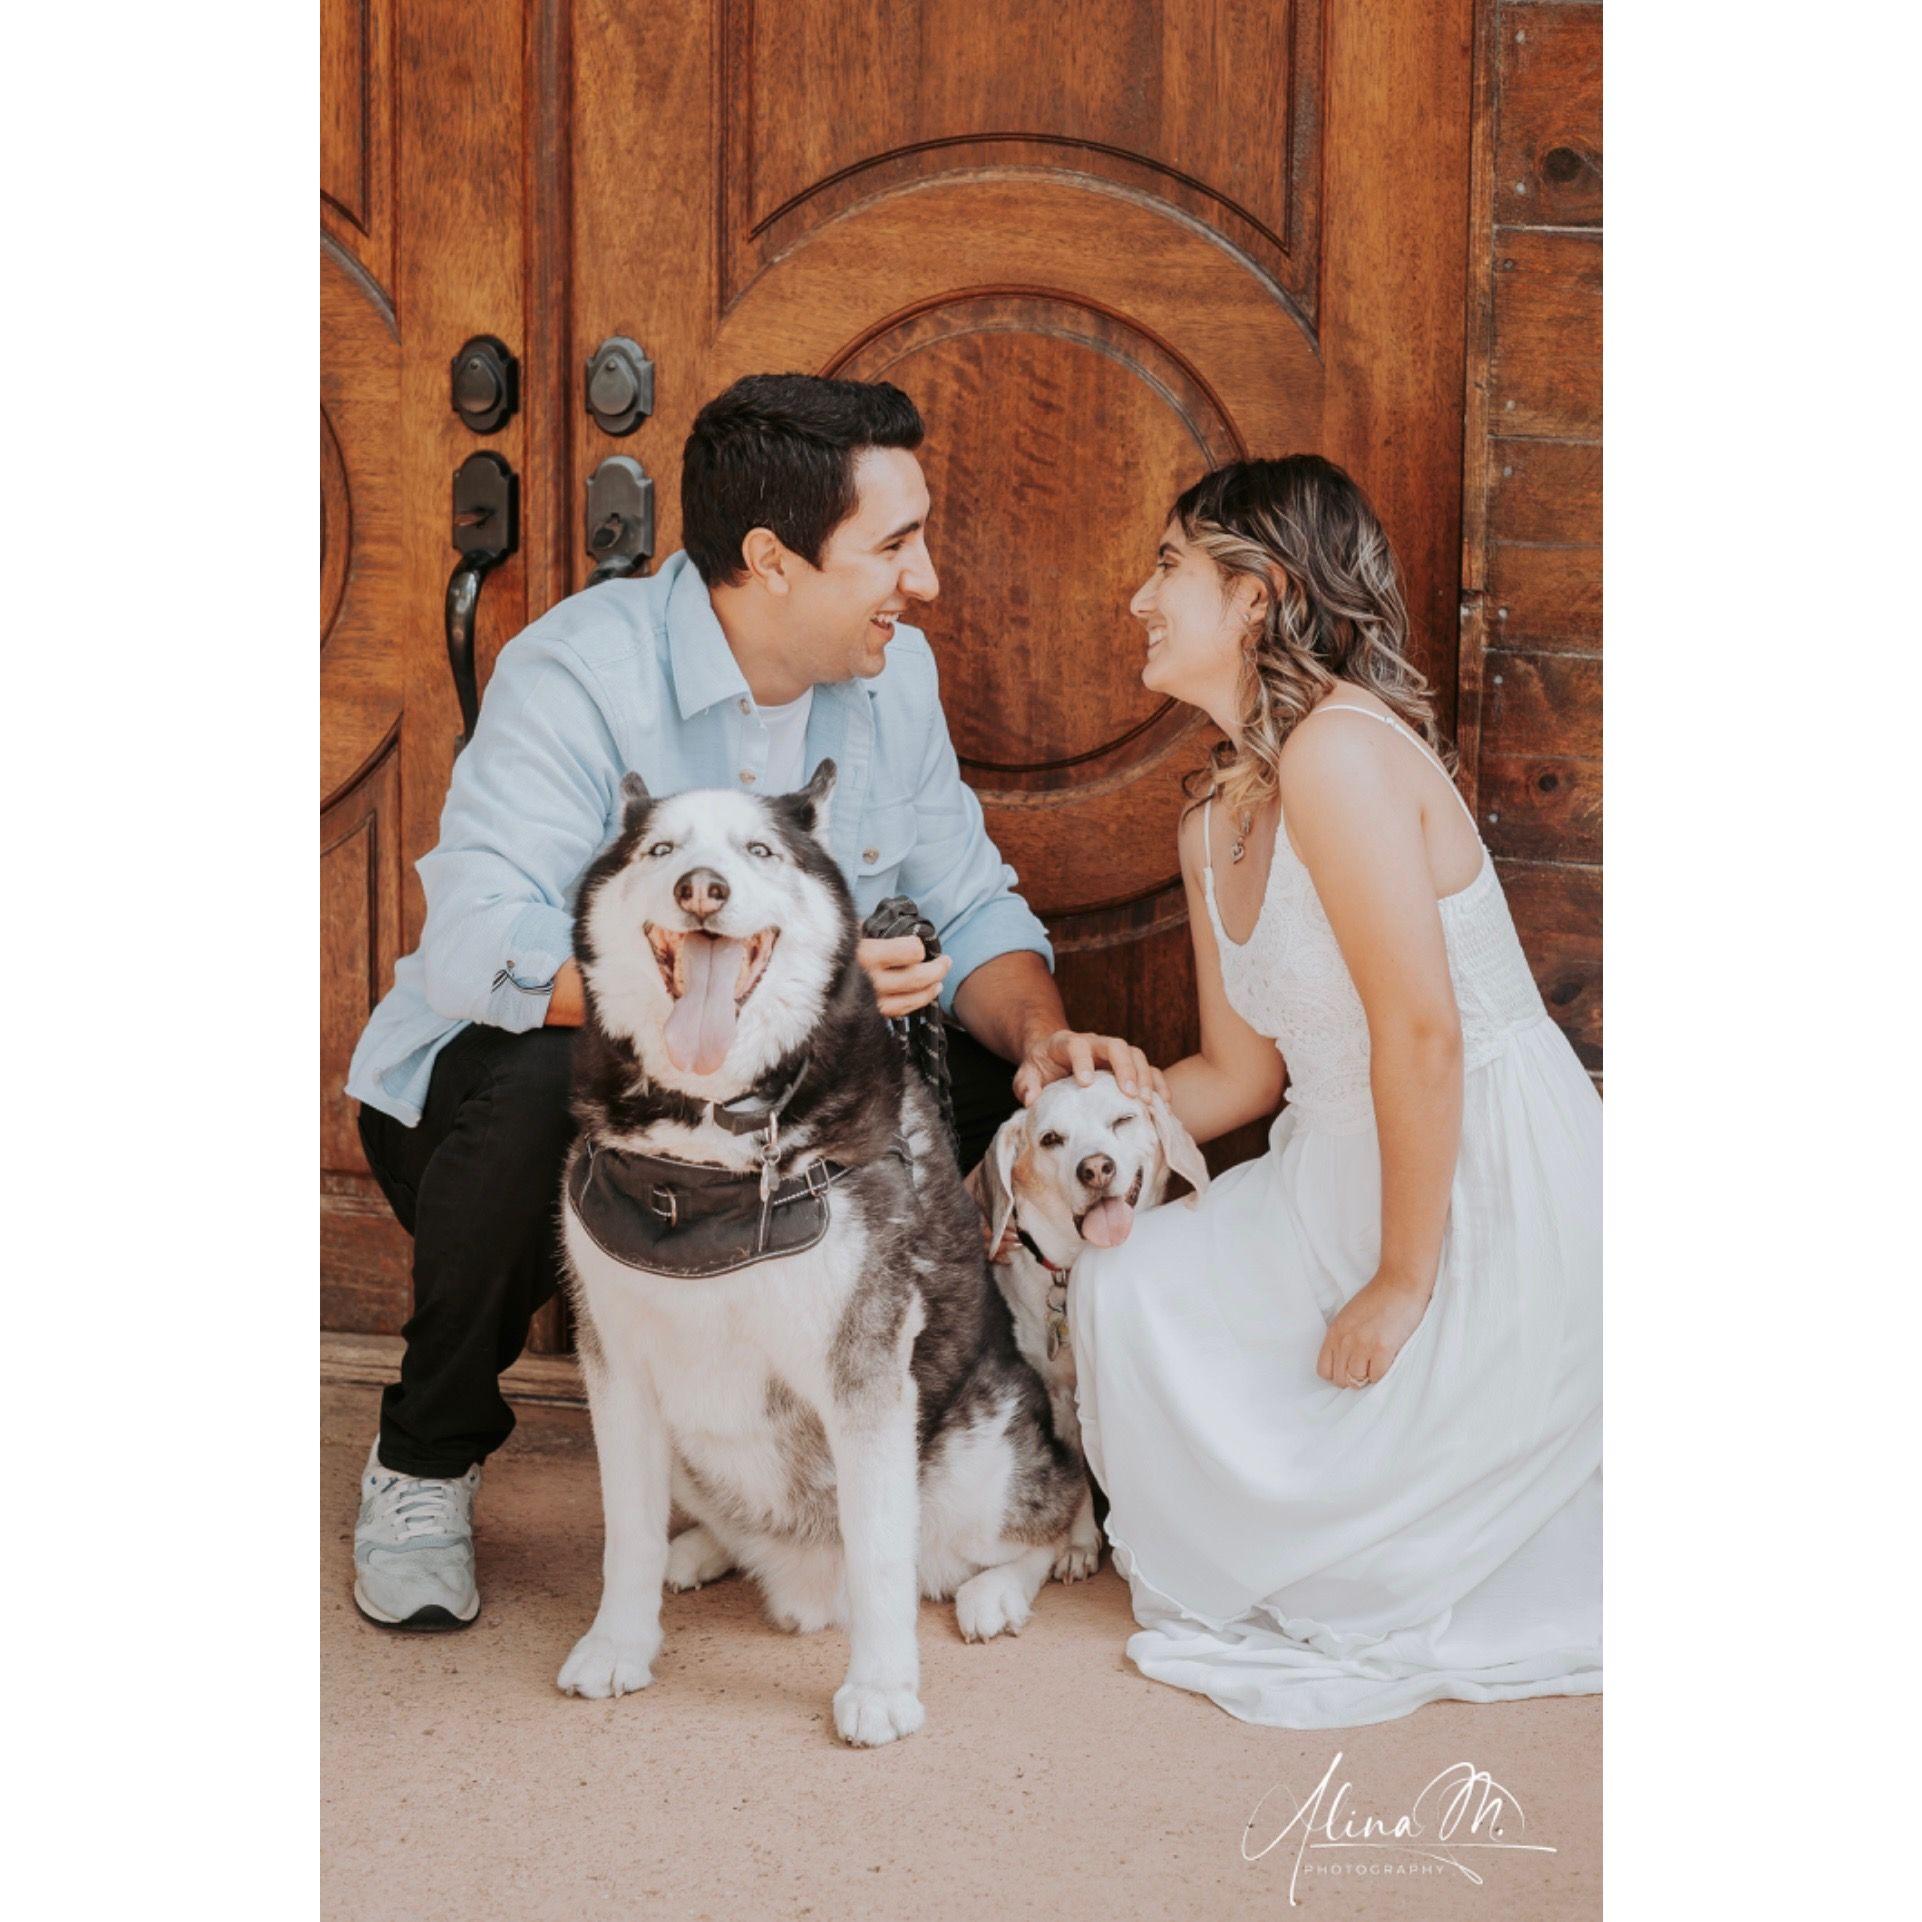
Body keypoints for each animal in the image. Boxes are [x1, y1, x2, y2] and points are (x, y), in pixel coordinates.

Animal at [554, 761, 1086, 1748]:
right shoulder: (616, 1365)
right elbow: (625, 1533)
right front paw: (619, 1643)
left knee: (1036, 1516)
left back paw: (1001, 1588)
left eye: (760, 851)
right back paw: (702, 1550)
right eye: (661, 849)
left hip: (978, 1445)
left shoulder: (865, 1370)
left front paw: (881, 1688)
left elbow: (881, 1557)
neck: (709, 1142)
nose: (702, 889)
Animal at [977, 1073, 1209, 1578]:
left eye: (1122, 1119)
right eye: (1051, 1139)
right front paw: (1080, 1545)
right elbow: (1078, 1477)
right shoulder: (1059, 1396)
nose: (1097, 1168)